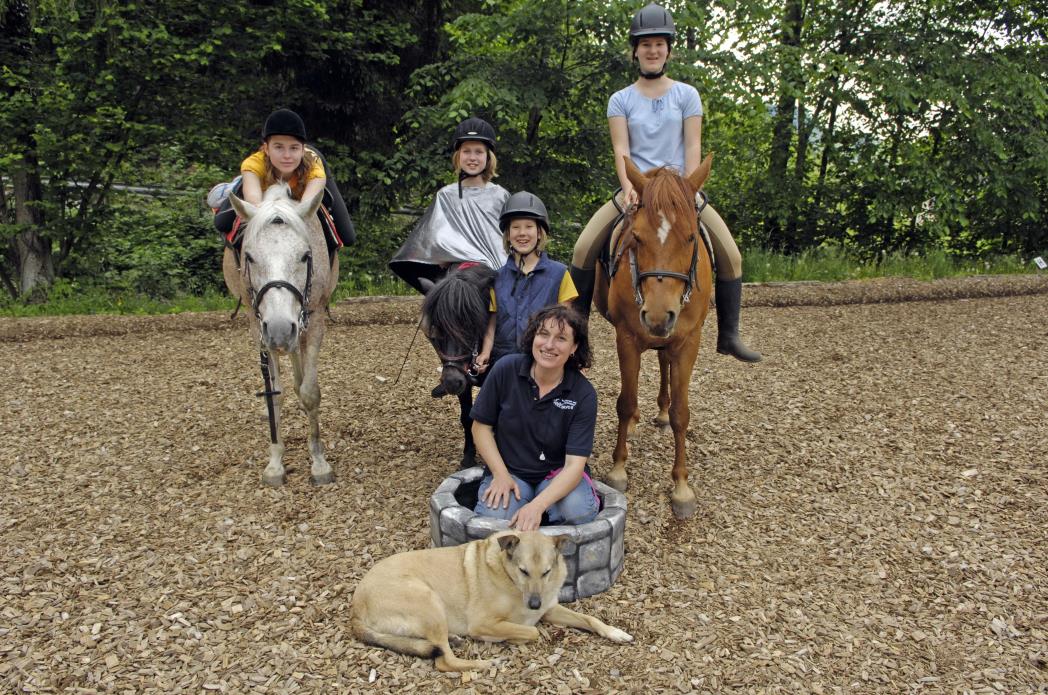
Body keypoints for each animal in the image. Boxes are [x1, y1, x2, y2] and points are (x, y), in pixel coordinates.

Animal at [350, 530, 628, 670]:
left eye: (546, 572)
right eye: (524, 571)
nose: (534, 604)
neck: (510, 578)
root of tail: (356, 607)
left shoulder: (549, 609)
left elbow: (589, 619)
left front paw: (615, 632)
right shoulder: (482, 623)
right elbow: (532, 631)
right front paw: (512, 637)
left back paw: (454, 640)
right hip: (428, 600)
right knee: (444, 661)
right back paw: (486, 663)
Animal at [419, 264, 496, 469]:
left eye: (472, 324)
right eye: (436, 328)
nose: (452, 383)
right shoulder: (465, 382)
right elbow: (467, 417)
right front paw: (469, 455)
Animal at [599, 156, 712, 515]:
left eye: (690, 237)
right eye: (636, 237)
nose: (659, 315)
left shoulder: (689, 342)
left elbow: (681, 413)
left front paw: (681, 487)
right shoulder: (626, 338)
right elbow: (625, 402)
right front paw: (618, 469)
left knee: (664, 362)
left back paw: (661, 411)